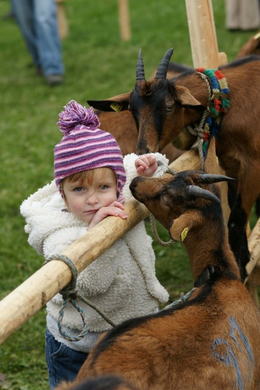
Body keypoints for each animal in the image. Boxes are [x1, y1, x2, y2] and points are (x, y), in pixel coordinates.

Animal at [88, 48, 260, 280]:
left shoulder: (253, 166)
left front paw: (241, 267)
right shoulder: (230, 162)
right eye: (132, 110)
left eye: (169, 106)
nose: (144, 150)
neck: (230, 100)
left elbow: (237, 217)